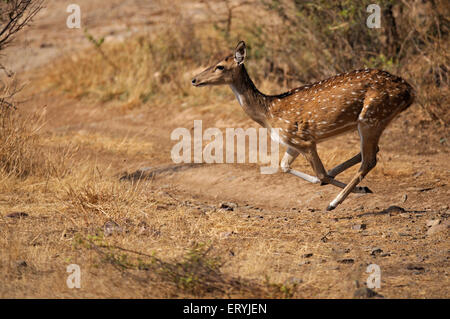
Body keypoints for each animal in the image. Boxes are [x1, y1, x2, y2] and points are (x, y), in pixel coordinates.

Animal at [191, 41, 414, 211]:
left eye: (220, 66)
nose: (194, 79)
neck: (268, 113)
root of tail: (409, 92)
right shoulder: (292, 143)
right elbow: (284, 167)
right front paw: (359, 188)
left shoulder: (304, 140)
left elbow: (318, 172)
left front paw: (335, 194)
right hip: (374, 121)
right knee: (370, 153)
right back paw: (351, 185)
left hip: (371, 117)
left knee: (369, 160)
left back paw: (333, 203)